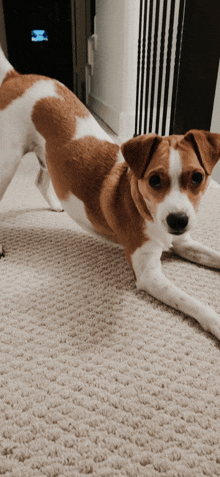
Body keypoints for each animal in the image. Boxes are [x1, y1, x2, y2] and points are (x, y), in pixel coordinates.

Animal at [1, 46, 220, 338]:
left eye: (197, 178)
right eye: (154, 180)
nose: (178, 221)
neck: (144, 208)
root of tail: (15, 76)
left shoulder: (185, 242)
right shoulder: (149, 274)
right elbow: (193, 302)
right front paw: (216, 321)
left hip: (48, 155)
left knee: (40, 180)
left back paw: (56, 204)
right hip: (7, 161)